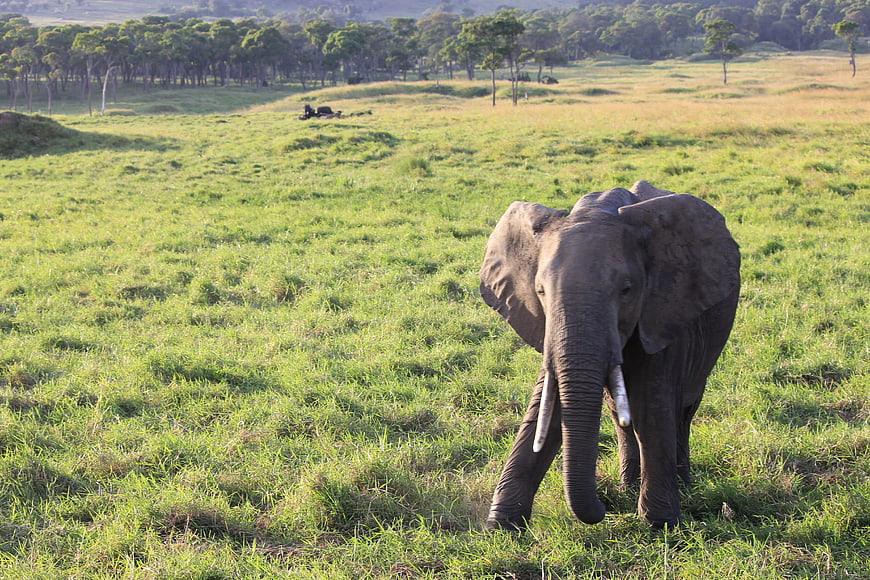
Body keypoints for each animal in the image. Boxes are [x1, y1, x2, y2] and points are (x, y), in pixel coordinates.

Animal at [479, 181, 740, 530]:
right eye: (541, 291)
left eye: (626, 290)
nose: (604, 508)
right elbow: (548, 405)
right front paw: (501, 526)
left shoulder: (663, 311)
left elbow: (651, 406)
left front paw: (660, 524)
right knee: (620, 414)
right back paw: (628, 486)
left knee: (683, 407)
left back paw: (681, 485)